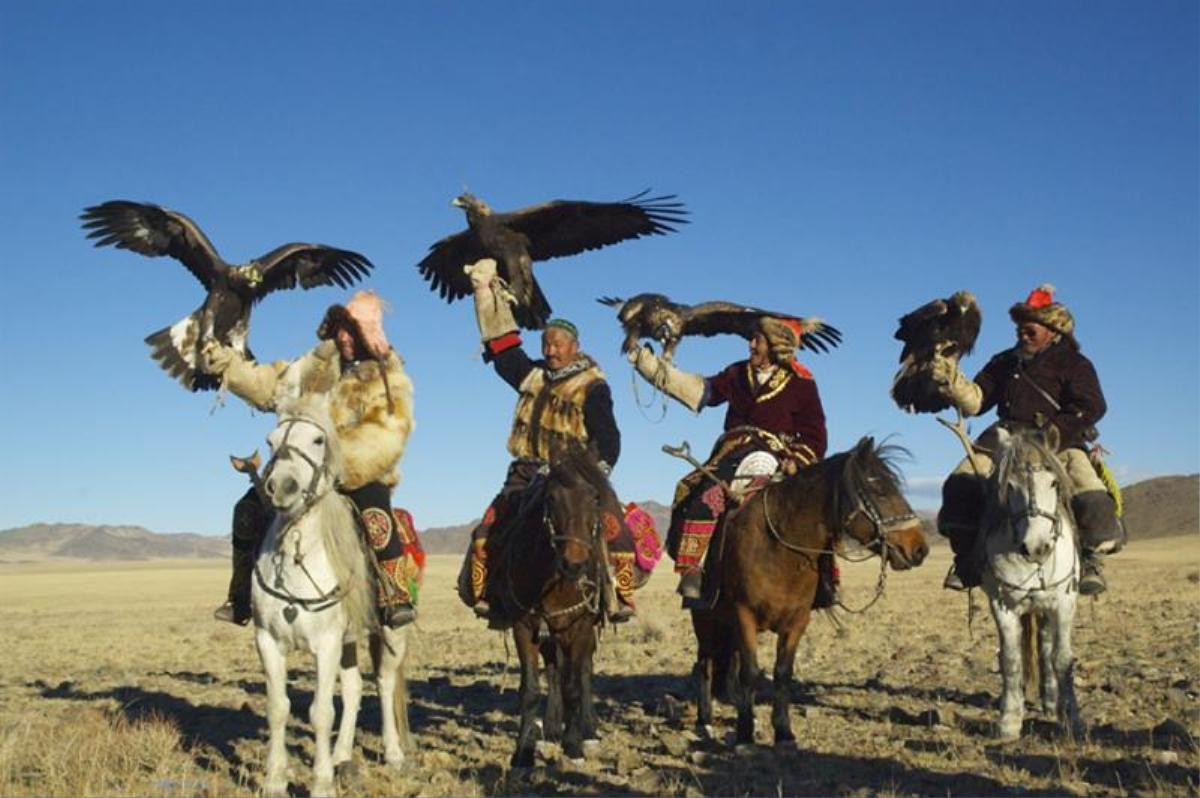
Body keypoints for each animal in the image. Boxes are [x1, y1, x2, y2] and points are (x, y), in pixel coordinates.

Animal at [253, 396, 412, 792]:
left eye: (318, 440)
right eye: (270, 441)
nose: (281, 486)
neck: (296, 554)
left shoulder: (325, 643)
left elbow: (321, 712)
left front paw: (321, 784)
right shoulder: (267, 640)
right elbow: (278, 708)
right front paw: (274, 780)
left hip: (392, 634)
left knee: (384, 684)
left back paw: (393, 754)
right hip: (350, 639)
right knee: (354, 690)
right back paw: (341, 754)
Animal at [482, 448, 624, 768]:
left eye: (595, 498)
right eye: (551, 498)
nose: (574, 564)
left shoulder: (580, 626)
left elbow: (574, 684)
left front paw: (574, 746)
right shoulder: (525, 626)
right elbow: (531, 689)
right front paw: (523, 750)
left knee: (582, 672)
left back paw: (587, 730)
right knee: (555, 670)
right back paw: (551, 728)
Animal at [691, 436, 931, 748]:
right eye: (879, 490)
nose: (919, 549)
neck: (779, 549)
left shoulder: (797, 621)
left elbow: (782, 673)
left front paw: (783, 732)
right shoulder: (745, 615)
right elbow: (750, 672)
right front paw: (744, 734)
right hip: (704, 619)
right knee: (704, 664)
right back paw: (704, 721)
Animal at [979, 429, 1084, 739]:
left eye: (1053, 482)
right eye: (1010, 486)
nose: (1037, 547)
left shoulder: (1064, 602)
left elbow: (1062, 659)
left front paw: (1072, 718)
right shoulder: (1002, 604)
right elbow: (1011, 660)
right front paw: (1009, 720)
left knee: (1048, 647)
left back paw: (1052, 701)